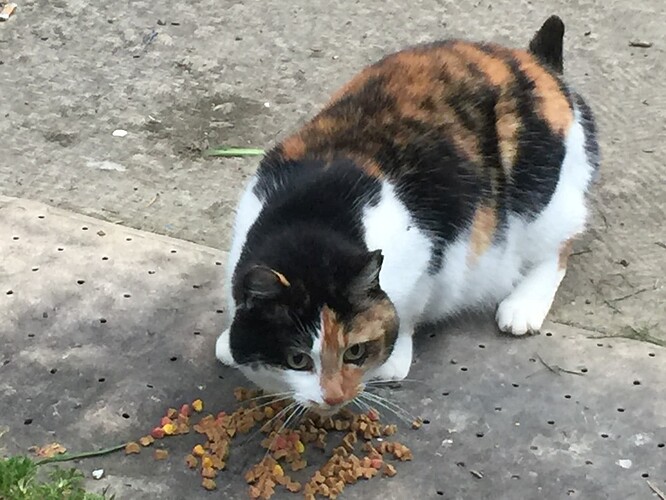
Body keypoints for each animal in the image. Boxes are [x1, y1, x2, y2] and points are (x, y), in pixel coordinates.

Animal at [214, 15, 596, 414]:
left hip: (541, 197)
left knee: (559, 246)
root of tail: (534, 61)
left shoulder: (427, 253)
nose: (333, 396)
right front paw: (227, 343)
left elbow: (410, 309)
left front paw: (393, 361)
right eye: (297, 360)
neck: (312, 217)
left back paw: (522, 308)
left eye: (355, 352)